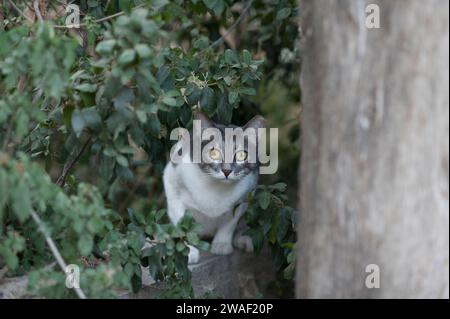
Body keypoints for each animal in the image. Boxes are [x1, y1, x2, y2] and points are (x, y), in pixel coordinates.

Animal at [163, 111, 266, 264]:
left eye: (242, 155)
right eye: (214, 153)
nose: (227, 171)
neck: (216, 187)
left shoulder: (244, 197)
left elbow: (229, 224)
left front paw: (221, 244)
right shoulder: (172, 187)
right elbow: (181, 224)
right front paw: (188, 251)